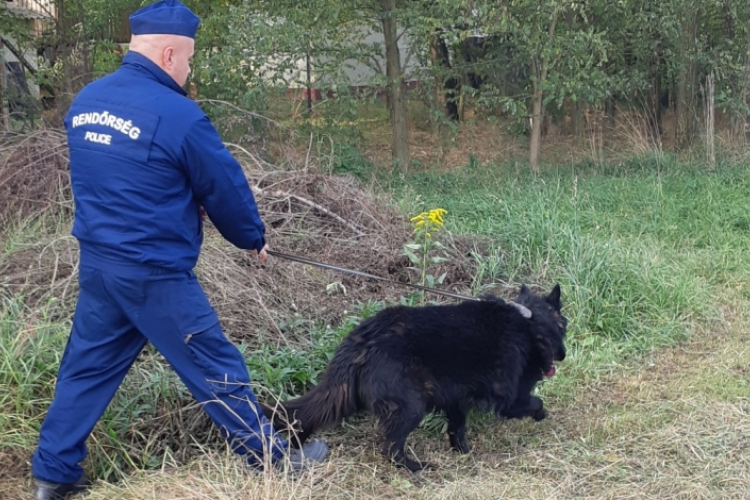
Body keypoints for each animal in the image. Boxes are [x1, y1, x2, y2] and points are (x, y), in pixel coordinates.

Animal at [264, 284, 564, 470]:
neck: (529, 323)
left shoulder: (456, 399)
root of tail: (362, 339)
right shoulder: (508, 398)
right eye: (562, 326)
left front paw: (462, 453)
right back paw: (415, 468)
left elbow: (457, 429)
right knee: (391, 450)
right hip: (410, 406)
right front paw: (541, 414)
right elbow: (535, 402)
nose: (562, 355)